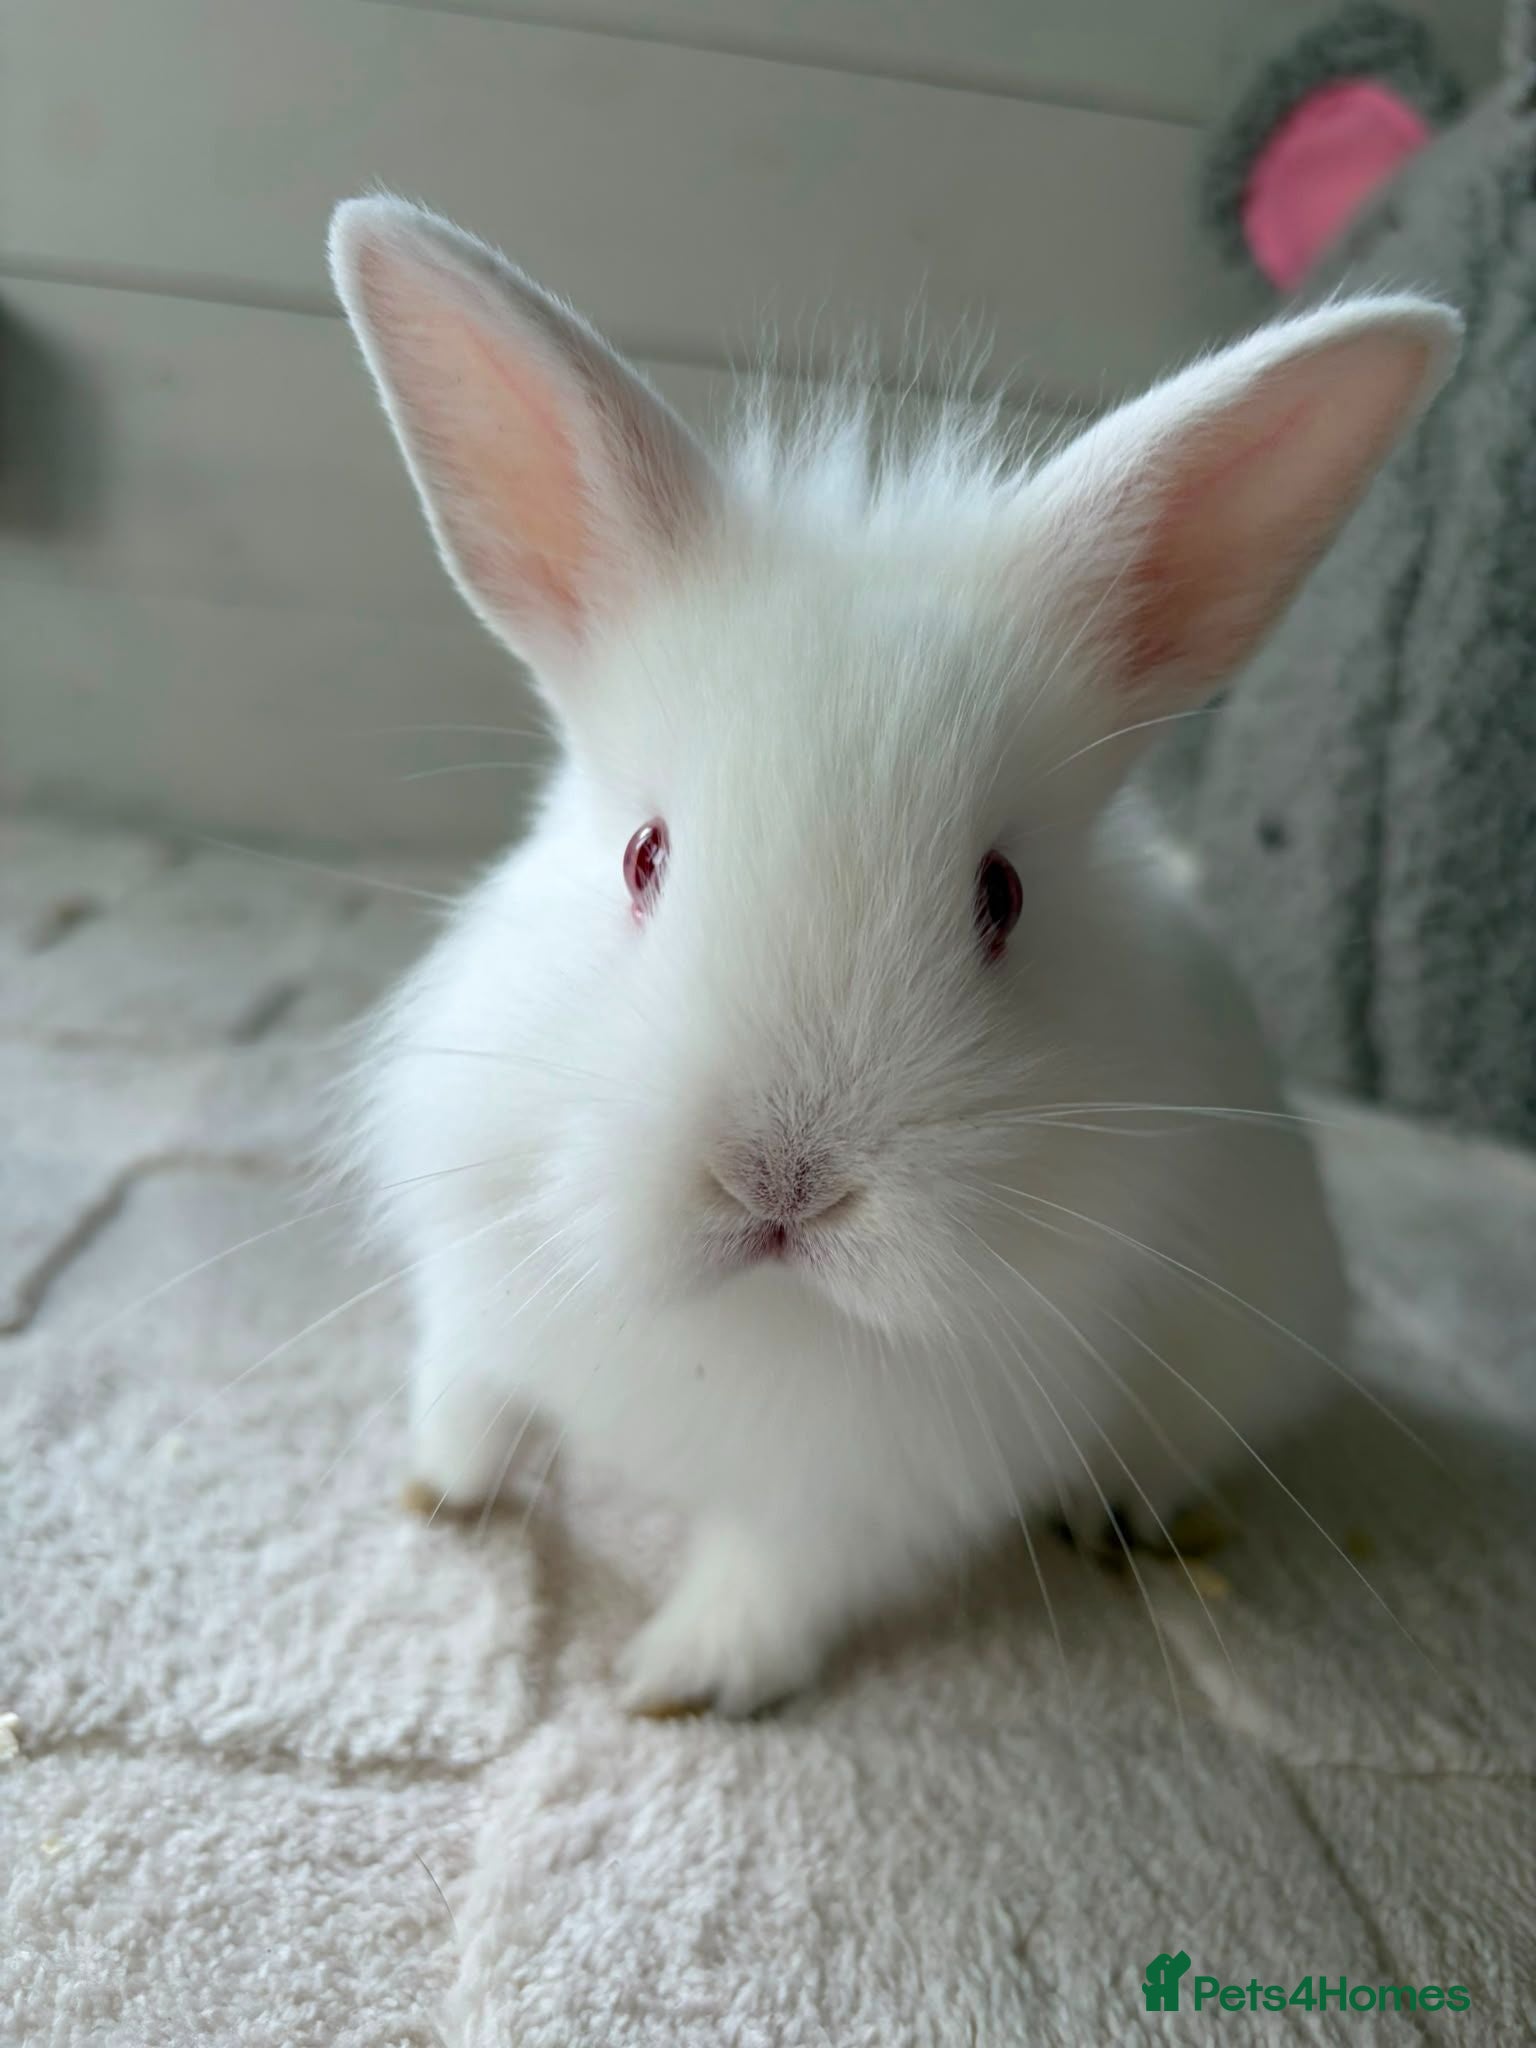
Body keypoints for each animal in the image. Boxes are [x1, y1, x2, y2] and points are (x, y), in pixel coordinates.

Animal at [328, 194, 1460, 1716]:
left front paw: (676, 1680)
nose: (782, 1184)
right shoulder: (479, 1278)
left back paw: (1126, 1517)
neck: (754, 1314)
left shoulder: (873, 1486)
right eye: (643, 856)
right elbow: (469, 1391)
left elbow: (778, 1578)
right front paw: (443, 1493)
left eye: (1002, 896)